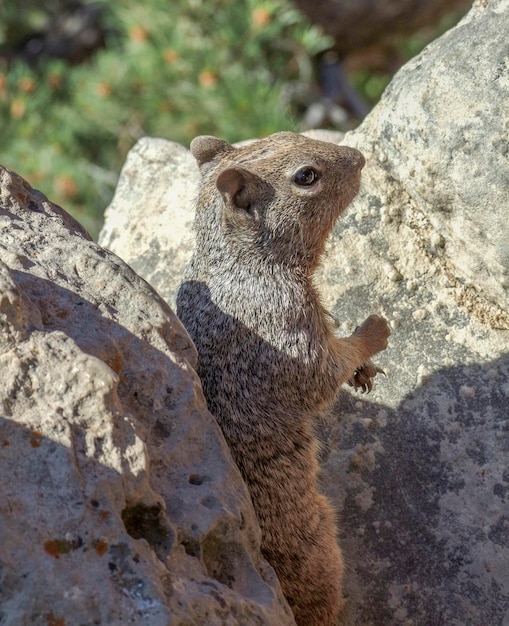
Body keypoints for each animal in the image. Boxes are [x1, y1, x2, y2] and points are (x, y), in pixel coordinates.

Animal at [177, 132, 390, 624]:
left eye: (288, 135)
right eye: (306, 176)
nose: (360, 158)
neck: (238, 261)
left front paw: (364, 370)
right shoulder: (286, 324)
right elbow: (323, 372)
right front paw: (374, 331)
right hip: (318, 549)